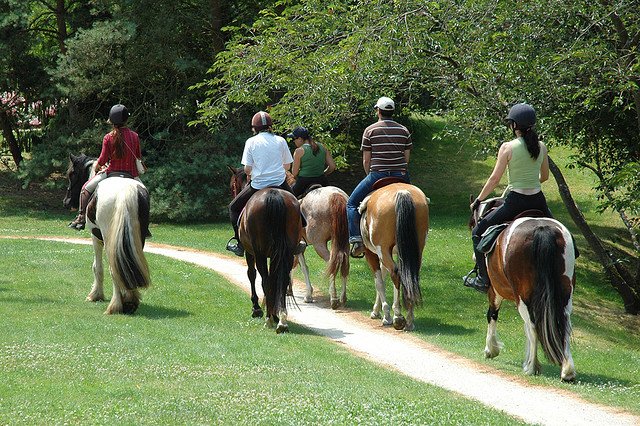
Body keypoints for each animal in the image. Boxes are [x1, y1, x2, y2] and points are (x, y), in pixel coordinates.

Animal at [360, 181, 430, 332]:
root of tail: (402, 193)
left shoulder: (372, 254)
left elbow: (379, 282)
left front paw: (385, 315)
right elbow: (385, 277)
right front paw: (377, 310)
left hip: (383, 249)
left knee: (396, 274)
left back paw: (398, 316)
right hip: (416, 251)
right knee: (410, 277)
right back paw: (409, 320)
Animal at [468, 198, 576, 382]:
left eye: (473, 223)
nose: (475, 257)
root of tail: (542, 229)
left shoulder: (494, 291)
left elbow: (492, 315)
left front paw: (491, 349)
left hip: (522, 296)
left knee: (532, 325)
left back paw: (532, 367)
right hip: (565, 291)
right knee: (564, 323)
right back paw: (567, 370)